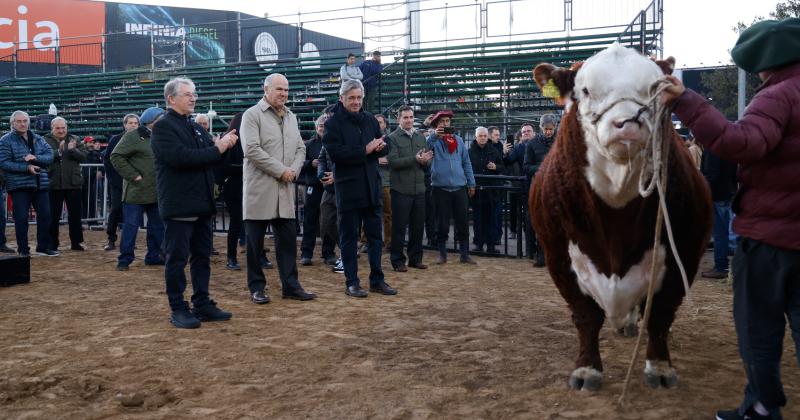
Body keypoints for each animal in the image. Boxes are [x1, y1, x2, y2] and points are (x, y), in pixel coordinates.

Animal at [532, 45, 712, 390]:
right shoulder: (558, 255)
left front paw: (660, 367)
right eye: (586, 90)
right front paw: (587, 369)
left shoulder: (683, 251)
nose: (627, 123)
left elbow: (660, 314)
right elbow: (586, 316)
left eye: (655, 91)